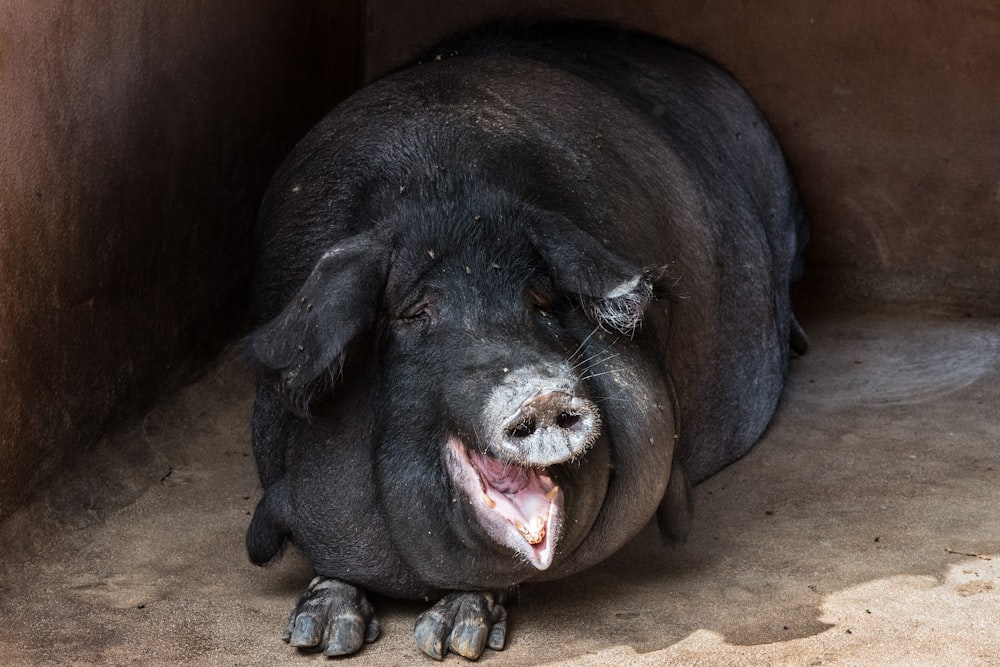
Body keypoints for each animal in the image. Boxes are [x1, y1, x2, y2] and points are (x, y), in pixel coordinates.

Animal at [246, 22, 808, 664]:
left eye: (541, 299)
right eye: (414, 312)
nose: (540, 393)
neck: (443, 188)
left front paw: (451, 640)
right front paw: (320, 638)